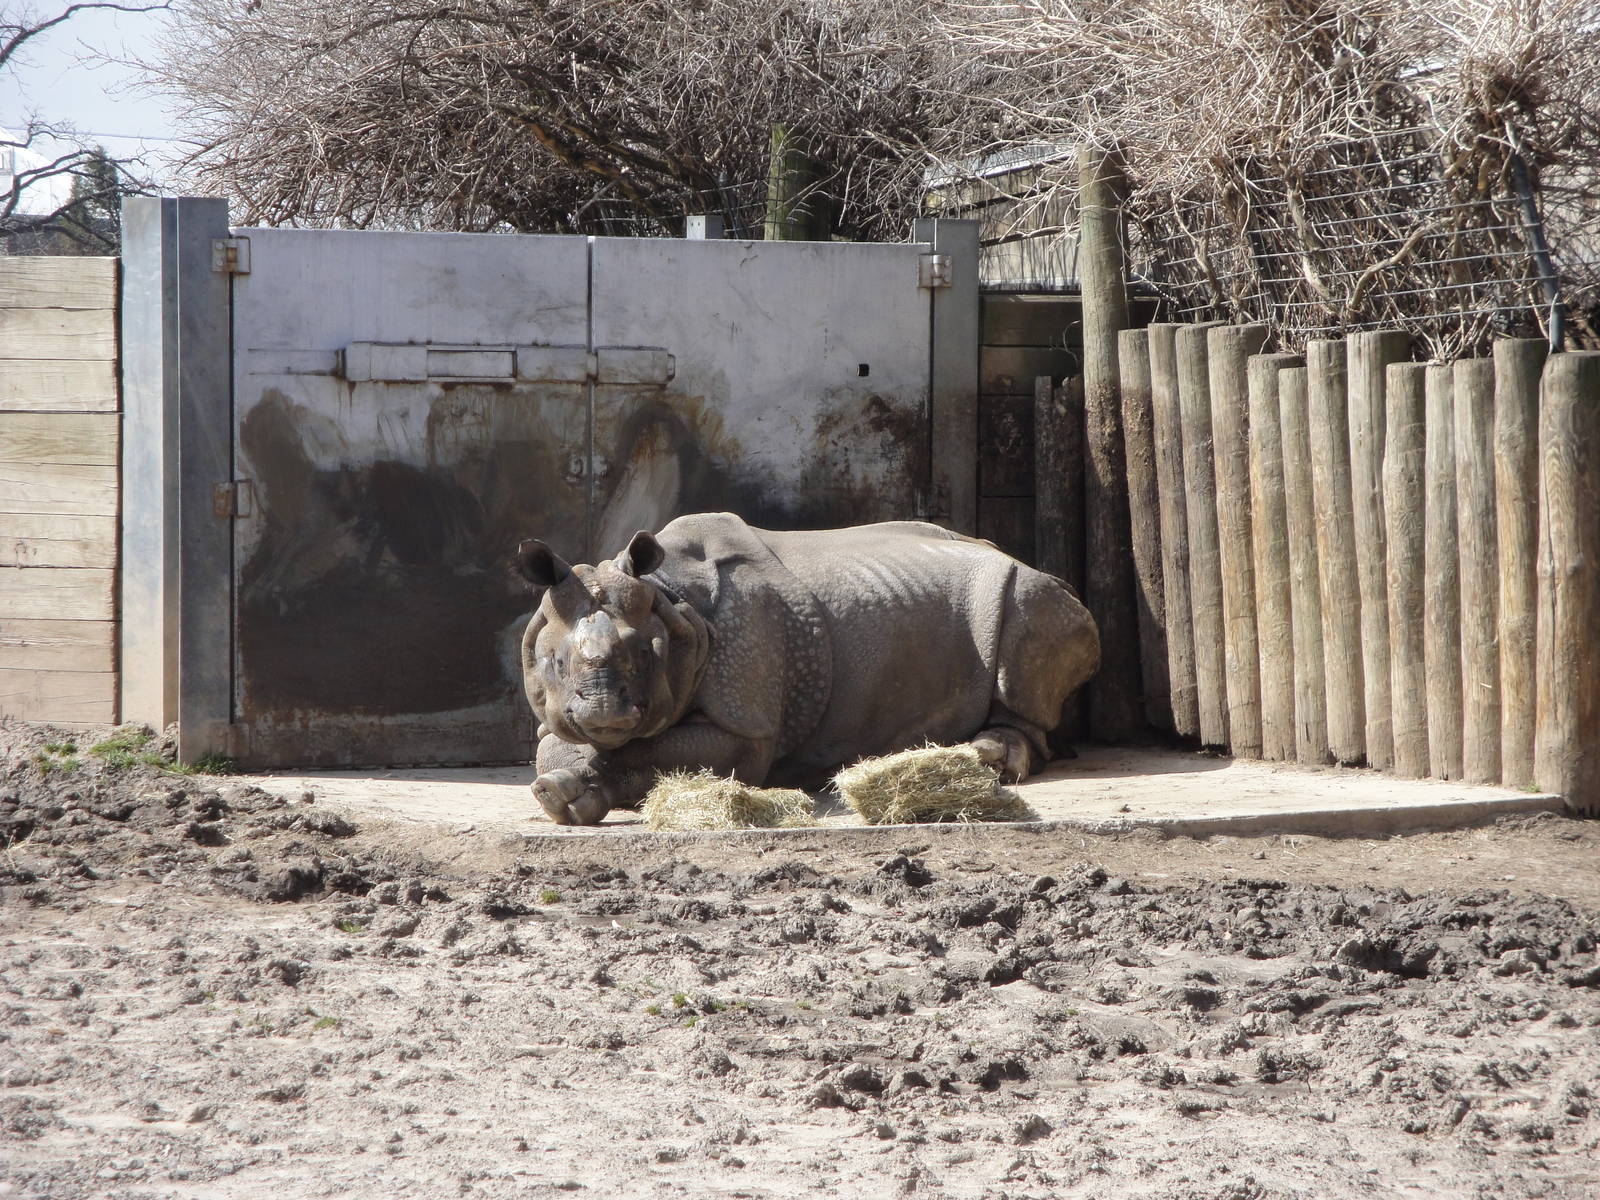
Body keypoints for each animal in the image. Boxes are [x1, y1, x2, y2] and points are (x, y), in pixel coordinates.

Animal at [516, 512, 1100, 825]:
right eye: (555, 662)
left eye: (645, 656)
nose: (605, 715)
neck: (672, 601)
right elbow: (554, 746)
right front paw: (557, 793)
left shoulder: (746, 723)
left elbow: (659, 753)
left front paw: (566, 794)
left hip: (1032, 594)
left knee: (1024, 642)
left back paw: (988, 757)